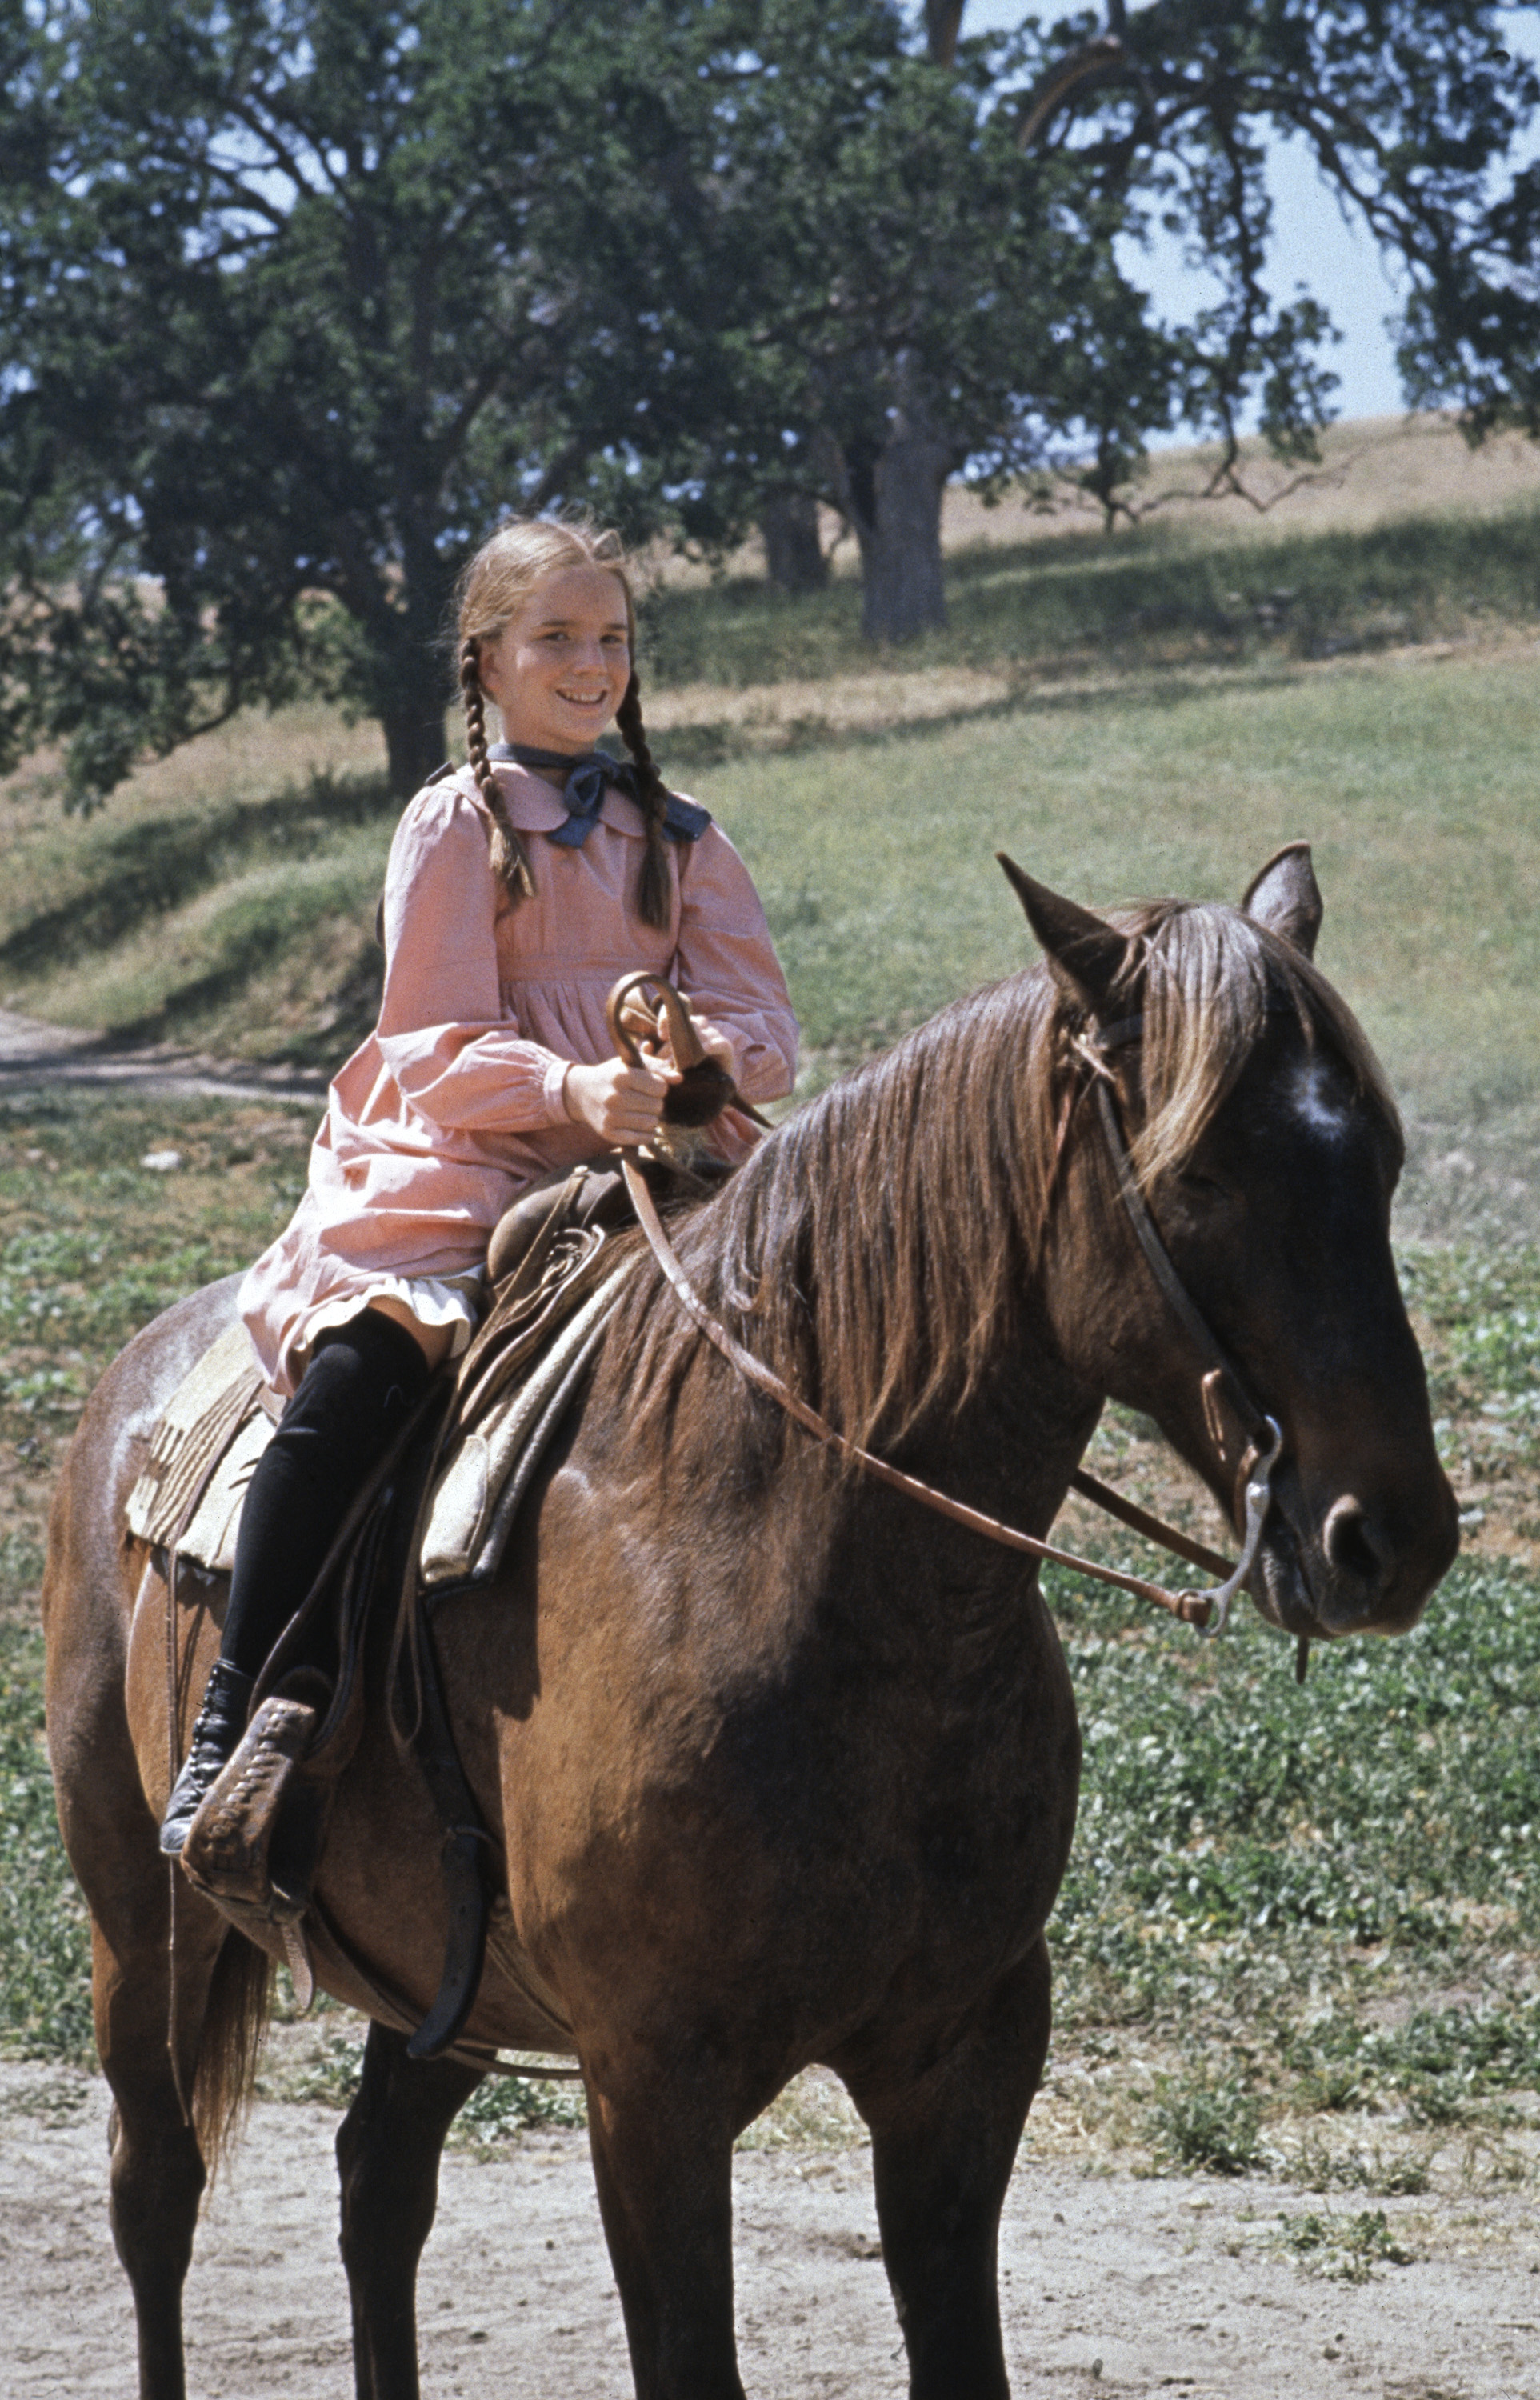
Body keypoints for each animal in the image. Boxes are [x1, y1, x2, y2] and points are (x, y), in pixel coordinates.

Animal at [38, 850, 1449, 2400]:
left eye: (1379, 1161)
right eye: (1197, 1171)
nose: (1388, 1536)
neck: (793, 1573)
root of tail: (131, 1390)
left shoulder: (966, 2056)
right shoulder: (653, 2084)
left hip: (438, 1981)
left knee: (378, 2185)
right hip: (141, 1918)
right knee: (157, 2188)